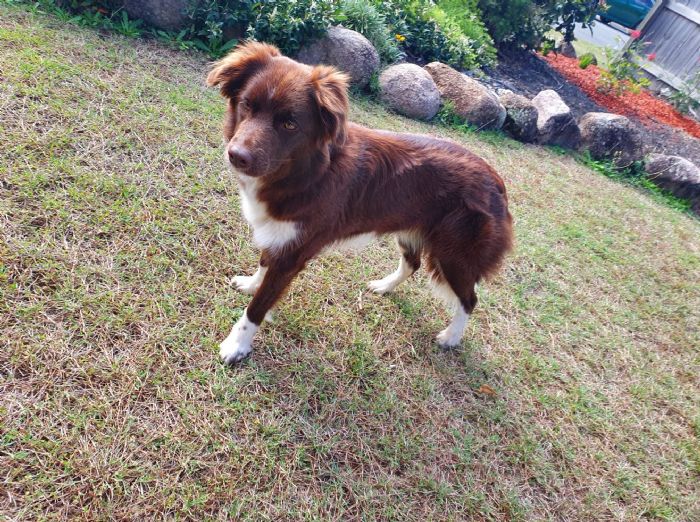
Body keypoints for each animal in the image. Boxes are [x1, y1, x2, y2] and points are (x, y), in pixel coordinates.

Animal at [206, 42, 513, 364]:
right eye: (247, 105)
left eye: (289, 124)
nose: (237, 156)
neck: (309, 173)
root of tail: (496, 181)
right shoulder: (279, 235)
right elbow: (264, 263)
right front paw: (251, 283)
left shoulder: (294, 253)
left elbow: (258, 306)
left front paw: (237, 345)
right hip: (410, 228)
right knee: (413, 263)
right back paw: (384, 286)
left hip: (455, 255)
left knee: (469, 299)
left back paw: (451, 337)